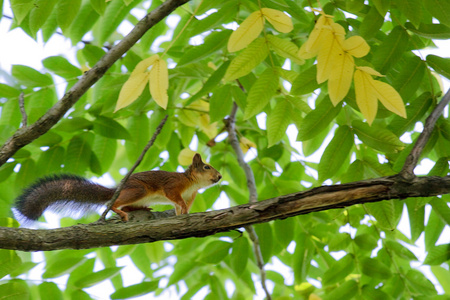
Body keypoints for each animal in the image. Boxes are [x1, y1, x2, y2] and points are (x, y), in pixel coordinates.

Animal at [14, 155, 222, 223]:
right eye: (207, 167)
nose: (220, 177)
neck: (191, 183)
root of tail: (117, 190)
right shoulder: (172, 186)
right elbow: (174, 198)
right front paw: (183, 210)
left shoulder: (190, 195)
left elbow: (179, 207)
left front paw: (182, 213)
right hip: (138, 190)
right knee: (112, 205)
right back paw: (119, 211)